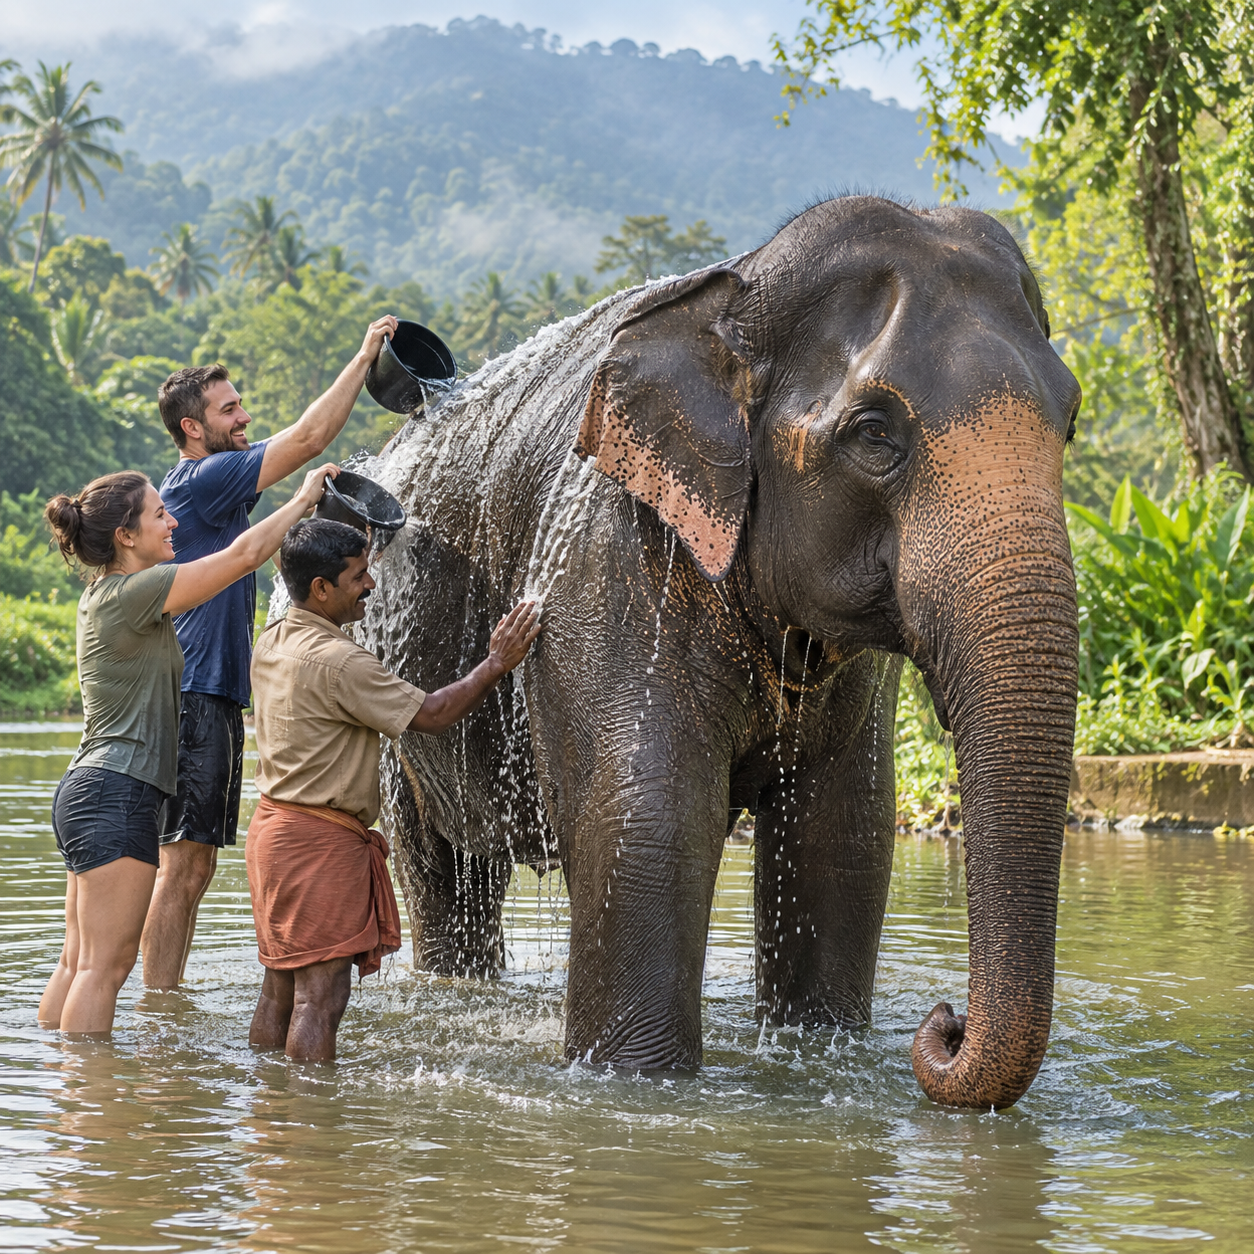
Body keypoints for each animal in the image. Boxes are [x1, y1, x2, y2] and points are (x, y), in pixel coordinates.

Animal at [358, 194, 1081, 1110]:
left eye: (1072, 419)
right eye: (874, 433)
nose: (945, 1023)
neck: (739, 286)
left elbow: (843, 836)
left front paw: (818, 1051)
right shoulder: (609, 563)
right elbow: (645, 822)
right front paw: (637, 1084)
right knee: (440, 872)